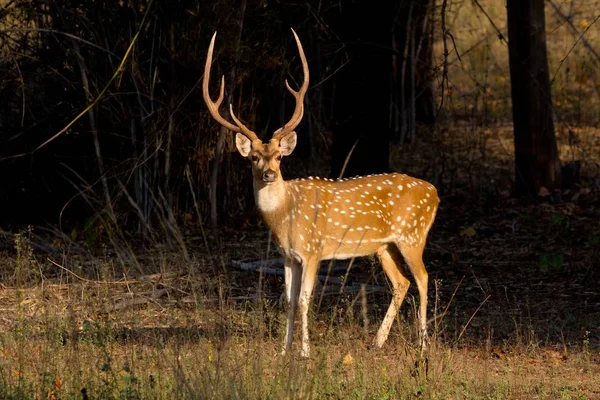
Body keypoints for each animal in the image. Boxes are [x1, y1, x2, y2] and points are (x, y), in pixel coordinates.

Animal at [204, 28, 438, 360]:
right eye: (254, 158)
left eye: (279, 156)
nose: (269, 174)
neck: (285, 216)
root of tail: (434, 192)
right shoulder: (288, 256)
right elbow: (288, 301)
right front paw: (284, 350)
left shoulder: (312, 250)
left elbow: (304, 300)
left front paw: (304, 352)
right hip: (384, 246)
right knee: (402, 282)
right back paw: (378, 341)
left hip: (413, 235)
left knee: (423, 278)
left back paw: (422, 345)